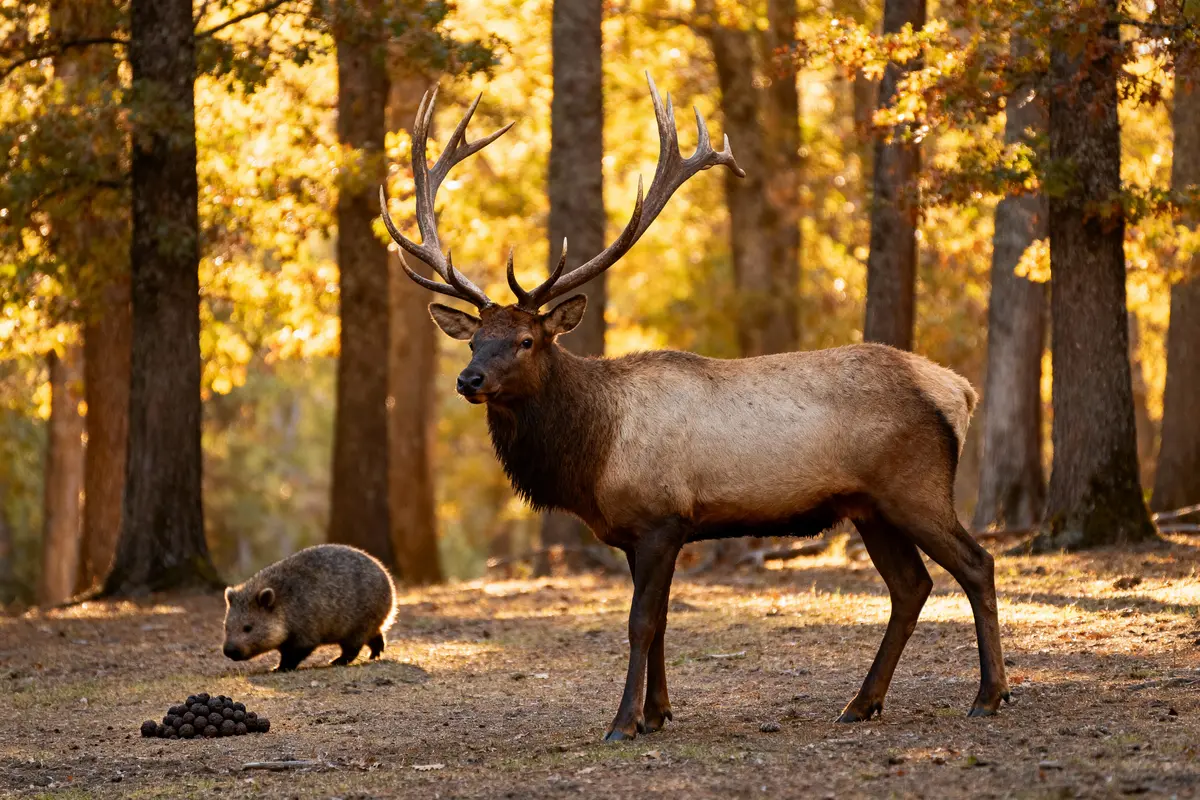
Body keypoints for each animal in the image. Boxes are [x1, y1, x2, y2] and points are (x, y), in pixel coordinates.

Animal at [379, 75, 1010, 742]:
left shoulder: (662, 517)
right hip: (869, 505)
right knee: (911, 585)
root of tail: (958, 389)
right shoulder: (637, 534)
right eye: (475, 339)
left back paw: (989, 694)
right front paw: (657, 714)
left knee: (977, 563)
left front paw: (622, 723)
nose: (467, 379)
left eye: (526, 340)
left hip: (915, 486)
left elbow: (640, 624)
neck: (592, 457)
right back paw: (862, 703)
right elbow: (658, 625)